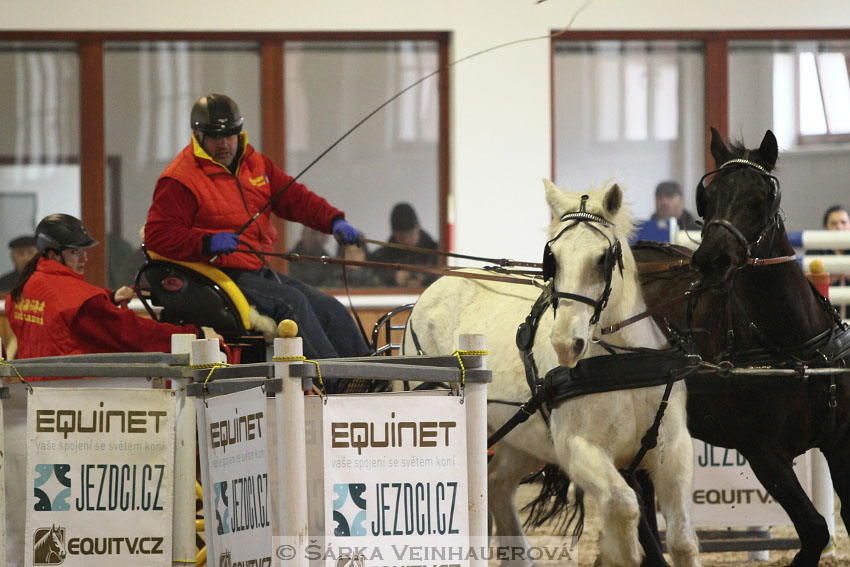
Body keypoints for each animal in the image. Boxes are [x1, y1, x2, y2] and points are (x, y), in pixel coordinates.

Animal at [400, 181, 700, 567]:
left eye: (602, 258)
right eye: (552, 258)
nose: (565, 344)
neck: (621, 362)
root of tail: (433, 290)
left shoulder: (673, 451)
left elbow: (682, 542)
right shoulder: (578, 449)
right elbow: (623, 506)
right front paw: (618, 551)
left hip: (521, 437)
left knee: (497, 484)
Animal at [636, 129, 848, 567]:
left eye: (761, 196)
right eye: (709, 196)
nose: (710, 259)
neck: (792, 346)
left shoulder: (839, 441)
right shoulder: (764, 452)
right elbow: (815, 530)